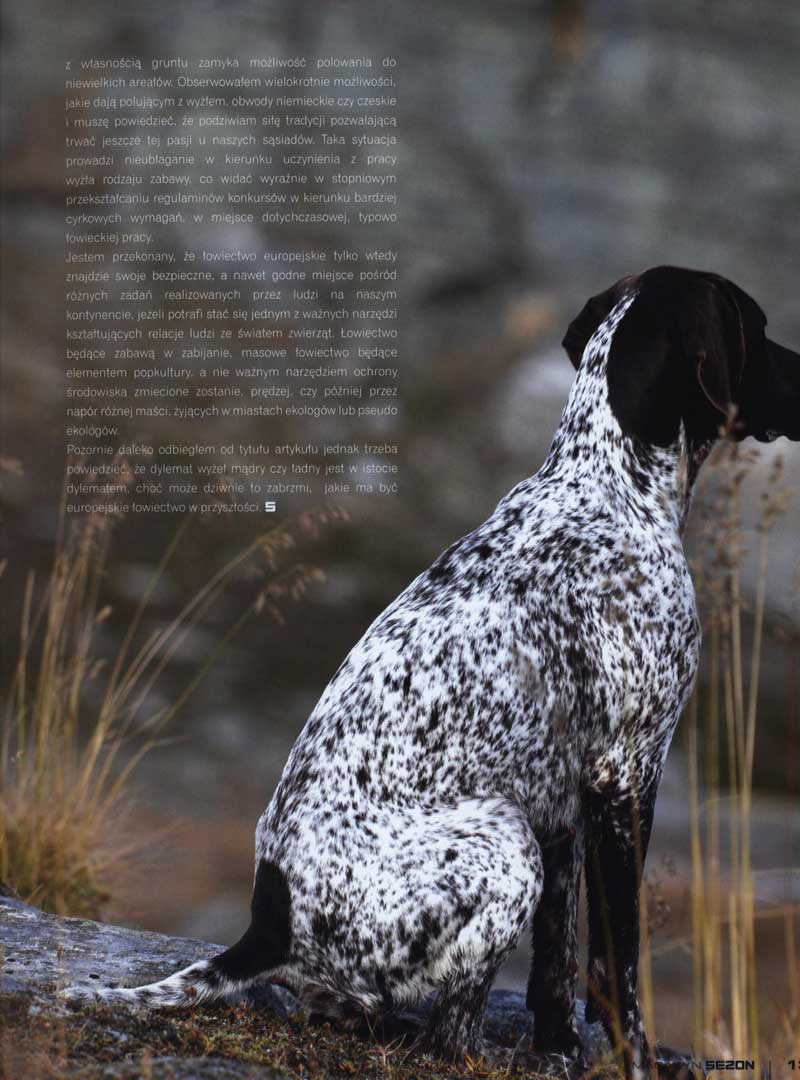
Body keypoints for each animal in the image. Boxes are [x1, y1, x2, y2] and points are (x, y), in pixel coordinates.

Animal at [64, 266, 800, 1077]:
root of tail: (267, 927)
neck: (606, 483)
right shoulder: (625, 776)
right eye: (760, 328)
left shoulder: (562, 802)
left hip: (516, 833)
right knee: (445, 1030)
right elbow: (617, 964)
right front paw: (631, 1059)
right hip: (504, 845)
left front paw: (561, 1050)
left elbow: (557, 962)